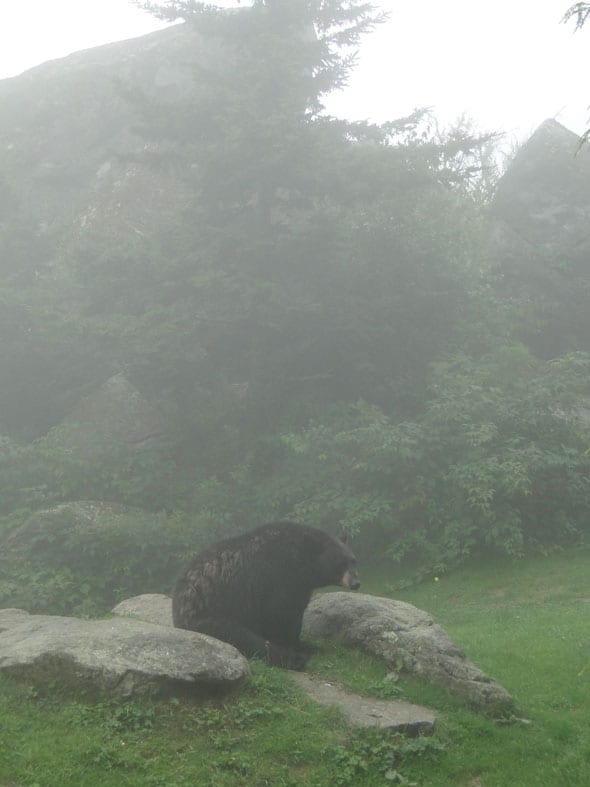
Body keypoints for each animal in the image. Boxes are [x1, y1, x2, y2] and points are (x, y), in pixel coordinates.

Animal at [172, 524, 360, 672]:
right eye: (340, 563)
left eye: (353, 560)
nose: (356, 583)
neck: (304, 564)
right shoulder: (279, 577)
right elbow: (279, 614)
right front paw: (292, 648)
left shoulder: (301, 586)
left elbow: (296, 614)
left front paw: (303, 644)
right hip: (208, 614)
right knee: (243, 637)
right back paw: (294, 660)